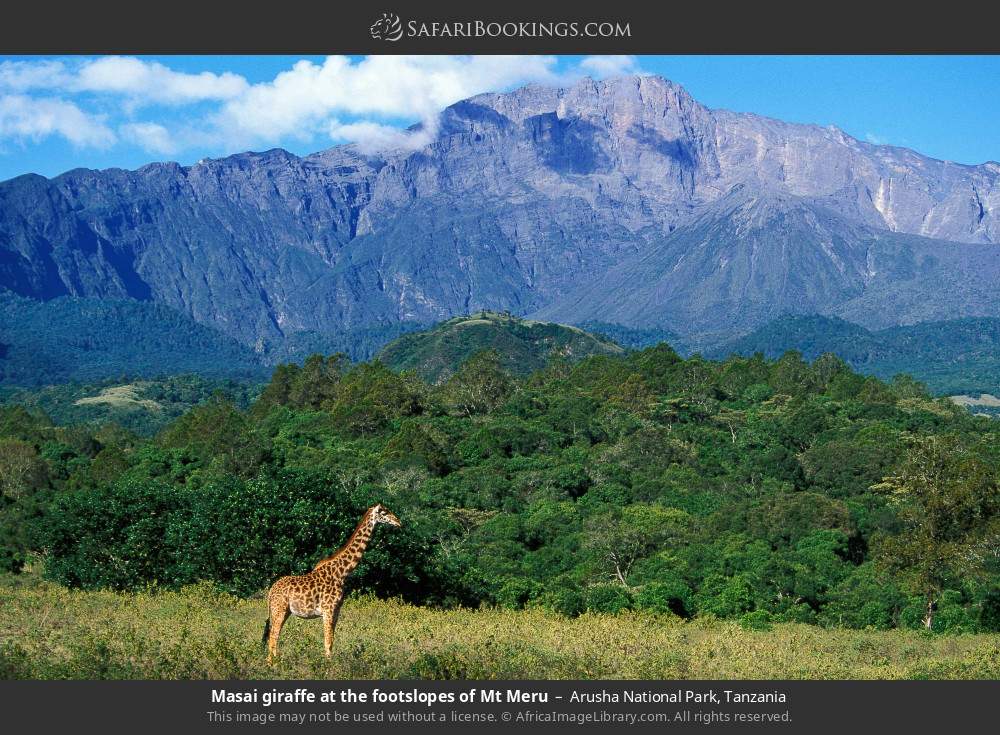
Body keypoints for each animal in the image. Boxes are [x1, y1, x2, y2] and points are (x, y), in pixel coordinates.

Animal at [261, 503, 401, 662]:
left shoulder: (336, 611)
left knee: (273, 637)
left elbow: (331, 641)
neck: (342, 572)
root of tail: (271, 591)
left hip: (283, 611)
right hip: (279, 610)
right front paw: (328, 665)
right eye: (384, 512)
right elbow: (327, 642)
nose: (399, 522)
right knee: (273, 637)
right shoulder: (328, 609)